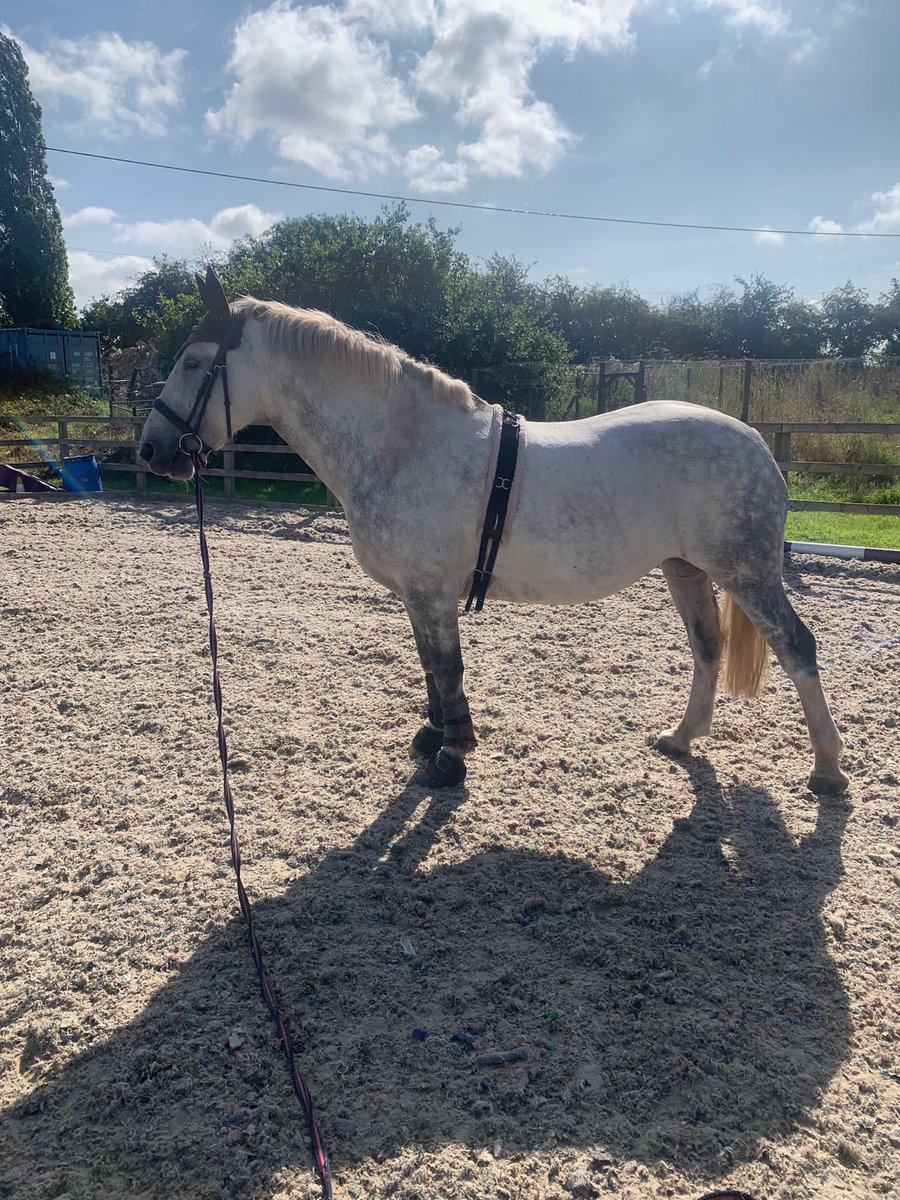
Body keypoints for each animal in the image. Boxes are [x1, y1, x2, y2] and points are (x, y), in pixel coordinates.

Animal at [138, 268, 849, 796]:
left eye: (193, 362)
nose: (151, 450)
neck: (400, 442)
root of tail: (754, 439)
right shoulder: (419, 596)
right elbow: (430, 667)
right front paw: (434, 737)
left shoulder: (430, 591)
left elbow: (447, 668)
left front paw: (451, 759)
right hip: (686, 568)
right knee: (707, 647)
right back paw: (681, 738)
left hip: (746, 572)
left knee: (797, 648)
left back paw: (828, 770)